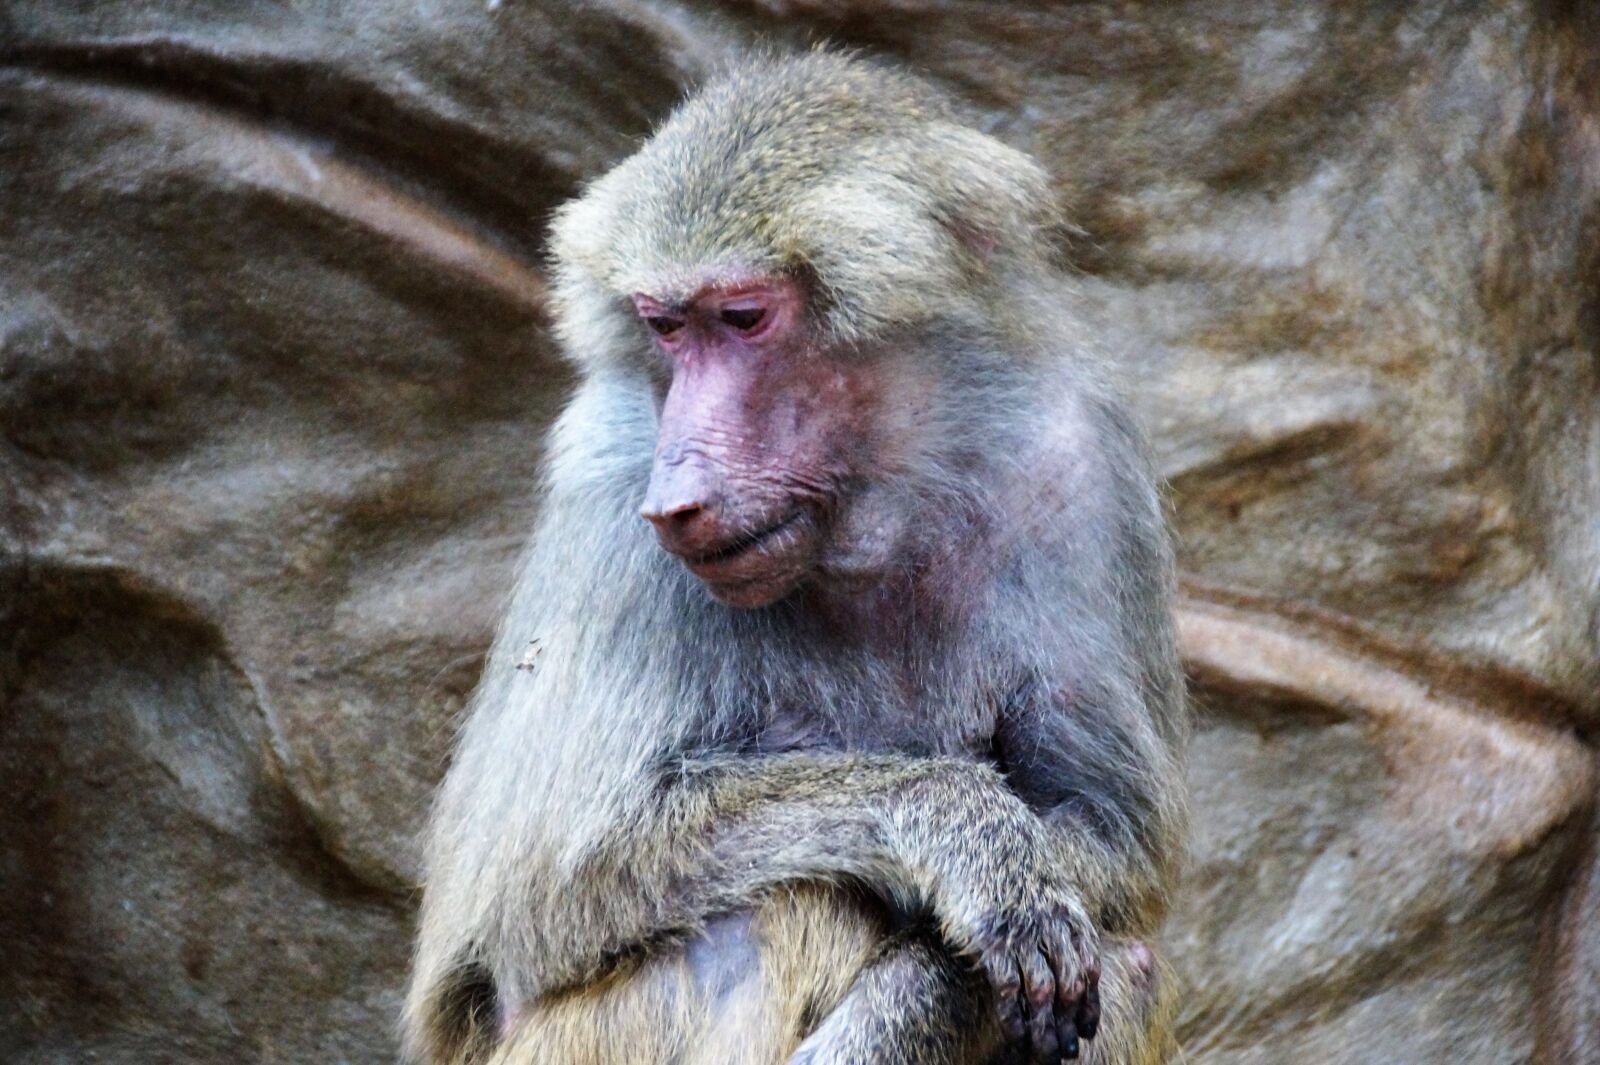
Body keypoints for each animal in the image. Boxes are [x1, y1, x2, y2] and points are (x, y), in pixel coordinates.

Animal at [404, 50, 1188, 1065]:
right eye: (665, 326)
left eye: (742, 318)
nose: (675, 501)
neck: (874, 507)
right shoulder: (610, 495)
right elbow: (543, 887)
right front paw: (959, 840)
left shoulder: (1080, 464)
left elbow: (1111, 838)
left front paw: (944, 961)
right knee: (783, 902)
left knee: (1130, 963)